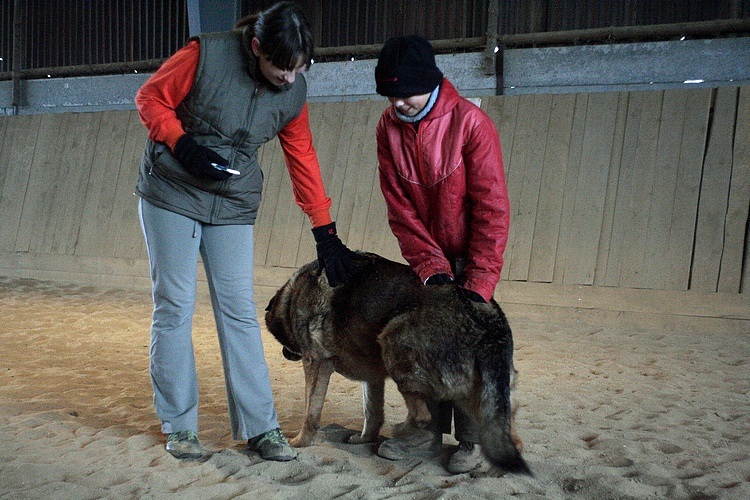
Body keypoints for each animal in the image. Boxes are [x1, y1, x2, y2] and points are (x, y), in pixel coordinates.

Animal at [268, 252, 532, 474]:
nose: (285, 354)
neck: (293, 295)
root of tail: (488, 322)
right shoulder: (372, 378)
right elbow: (372, 412)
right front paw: (365, 439)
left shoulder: (316, 363)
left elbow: (310, 413)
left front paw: (300, 442)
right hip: (494, 399)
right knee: (510, 437)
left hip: (394, 344)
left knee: (423, 416)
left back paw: (403, 432)